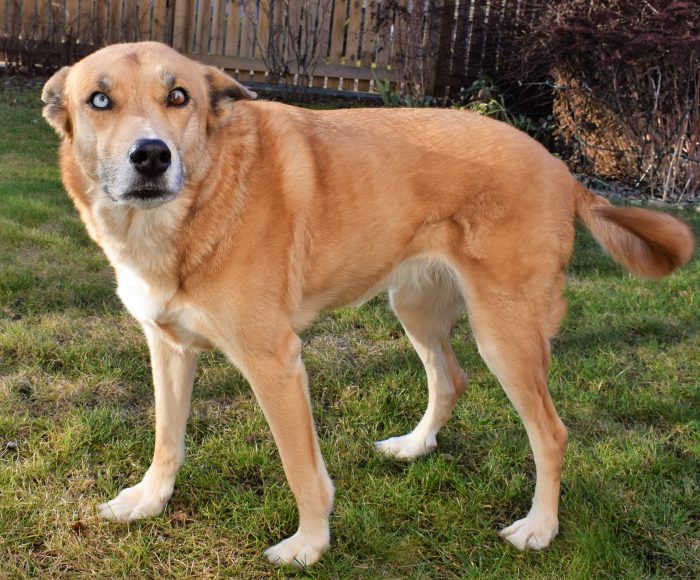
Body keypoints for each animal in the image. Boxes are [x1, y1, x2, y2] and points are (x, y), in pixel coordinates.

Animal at [42, 41, 694, 566]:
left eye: (178, 96)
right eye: (99, 100)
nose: (152, 156)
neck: (193, 206)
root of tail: (559, 165)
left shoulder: (275, 364)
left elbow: (303, 471)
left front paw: (310, 545)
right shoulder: (170, 347)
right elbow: (166, 440)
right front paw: (149, 501)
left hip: (505, 333)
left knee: (551, 433)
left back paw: (541, 526)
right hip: (416, 307)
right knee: (451, 378)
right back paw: (414, 446)